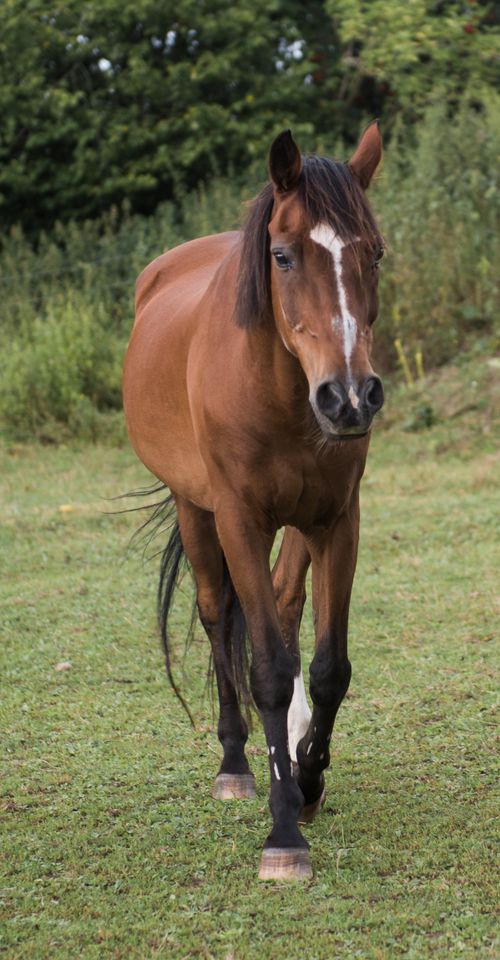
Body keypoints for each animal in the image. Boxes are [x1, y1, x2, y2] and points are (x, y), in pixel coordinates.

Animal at [123, 122, 384, 884]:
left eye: (375, 252)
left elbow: (327, 669)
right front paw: (283, 831)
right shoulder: (239, 518)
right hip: (196, 509)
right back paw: (236, 764)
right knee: (218, 616)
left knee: (285, 605)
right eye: (283, 255)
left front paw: (310, 780)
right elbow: (265, 667)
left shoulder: (337, 521)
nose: (350, 397)